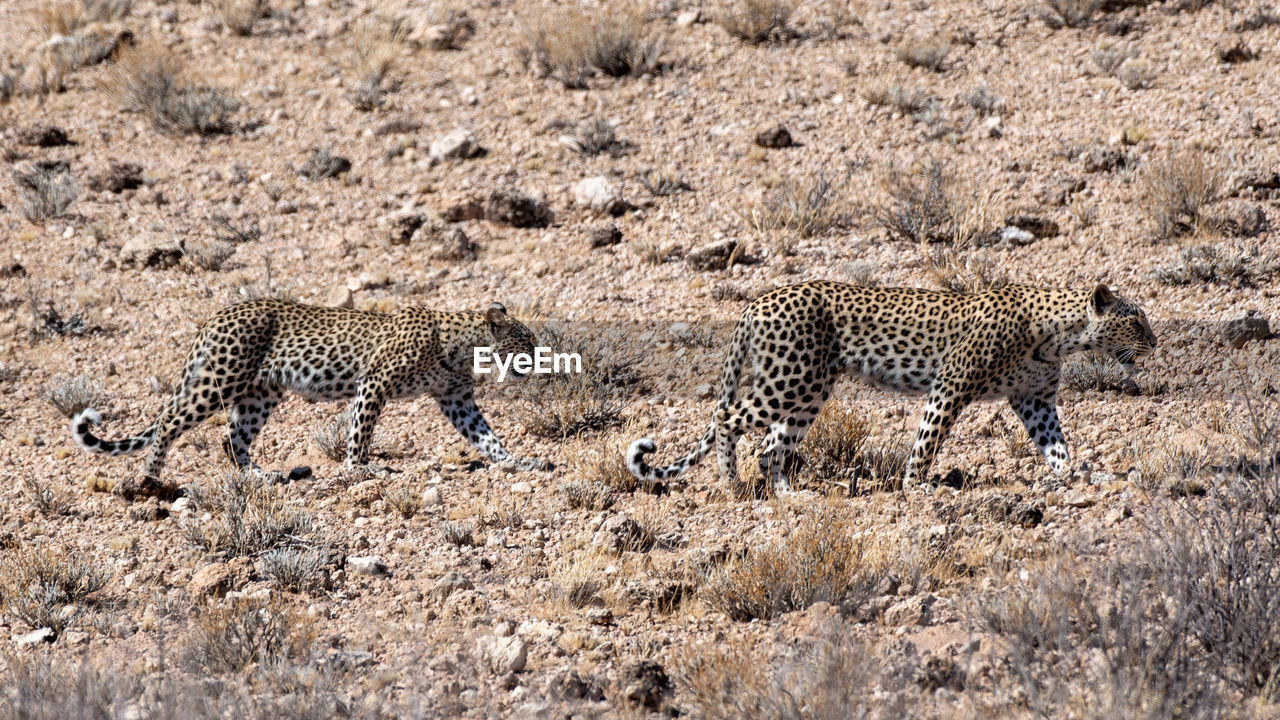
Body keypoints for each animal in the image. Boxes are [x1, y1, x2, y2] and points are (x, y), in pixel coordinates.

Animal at [71, 294, 550, 489]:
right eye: (524, 342)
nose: (542, 357)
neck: (465, 350)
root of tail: (217, 316)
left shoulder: (457, 400)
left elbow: (487, 437)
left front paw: (518, 462)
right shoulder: (374, 382)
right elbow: (360, 434)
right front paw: (361, 470)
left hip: (260, 394)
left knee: (232, 439)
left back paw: (259, 476)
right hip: (220, 379)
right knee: (170, 421)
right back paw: (151, 477)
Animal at [629, 280, 1162, 491]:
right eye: (1135, 321)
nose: (1156, 342)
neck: (1059, 336)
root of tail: (758, 301)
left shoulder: (1034, 401)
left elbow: (1057, 447)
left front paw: (1076, 477)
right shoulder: (951, 385)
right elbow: (927, 440)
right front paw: (916, 485)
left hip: (809, 389)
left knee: (770, 444)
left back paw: (788, 494)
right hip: (790, 379)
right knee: (726, 417)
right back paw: (730, 480)